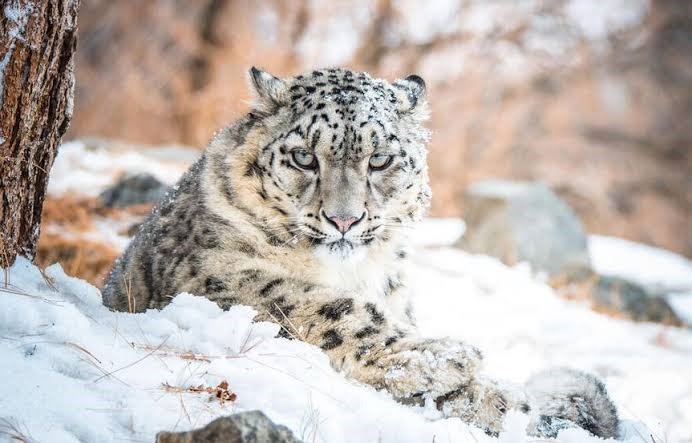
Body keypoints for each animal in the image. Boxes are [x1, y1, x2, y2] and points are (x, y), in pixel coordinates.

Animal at [102, 67, 619, 438]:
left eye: (381, 159)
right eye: (304, 157)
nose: (344, 220)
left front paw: (498, 399)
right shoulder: (213, 274)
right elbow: (324, 307)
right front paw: (449, 357)